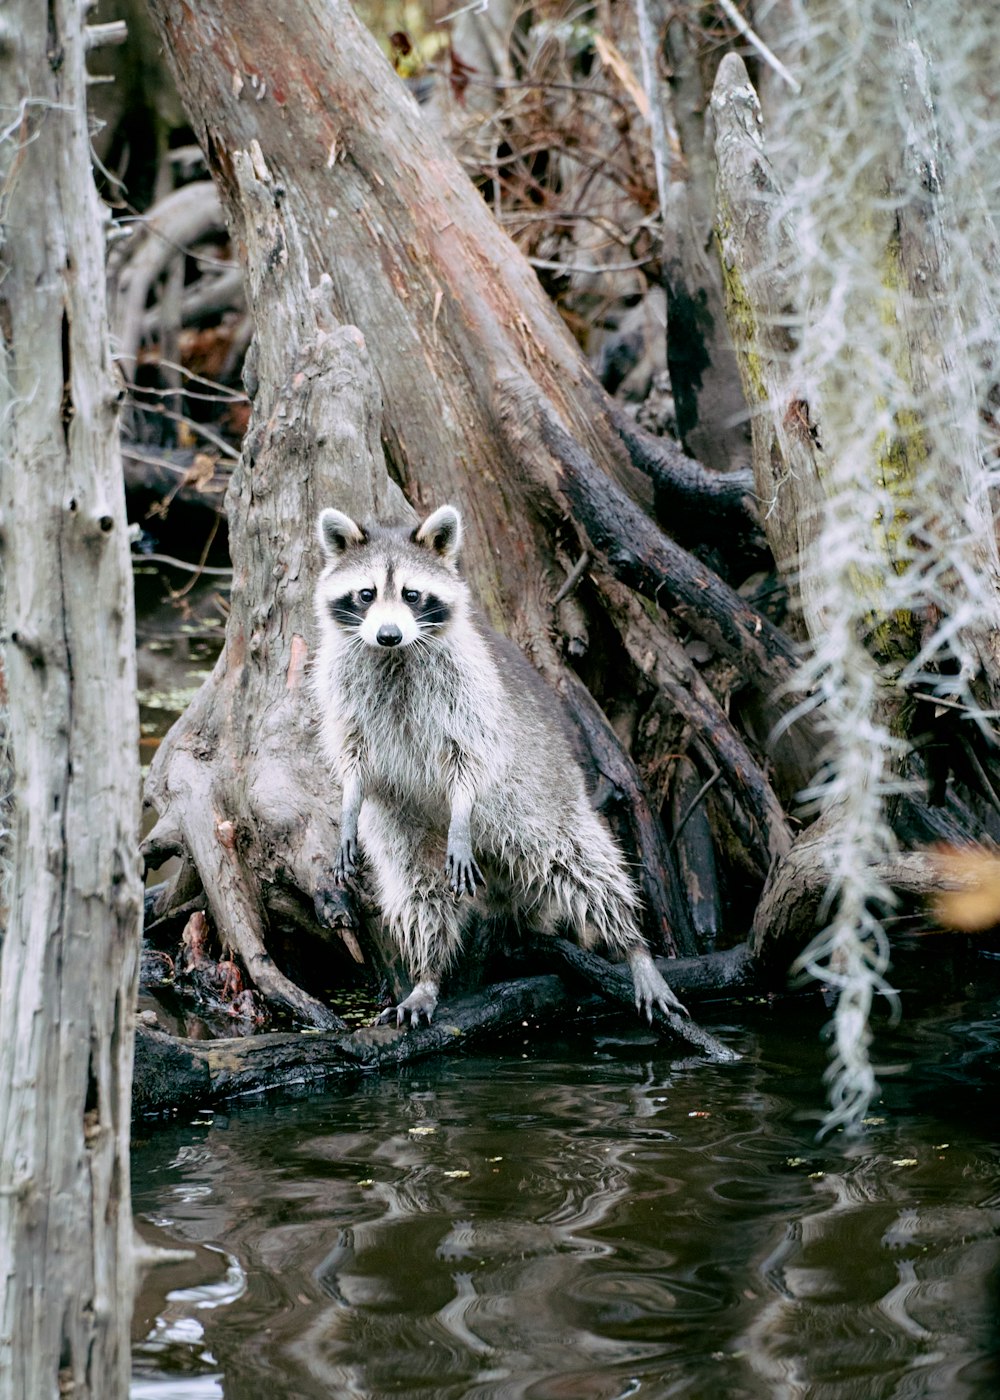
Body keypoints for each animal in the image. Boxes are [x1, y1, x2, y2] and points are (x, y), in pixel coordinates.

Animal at [310, 504, 686, 1030]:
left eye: (411, 595)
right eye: (366, 595)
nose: (388, 634)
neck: (396, 656)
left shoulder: (467, 687)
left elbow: (470, 755)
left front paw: (462, 806)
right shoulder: (340, 682)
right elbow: (351, 752)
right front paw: (348, 801)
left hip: (545, 801)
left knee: (587, 867)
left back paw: (632, 945)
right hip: (406, 828)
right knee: (419, 891)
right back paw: (428, 975)